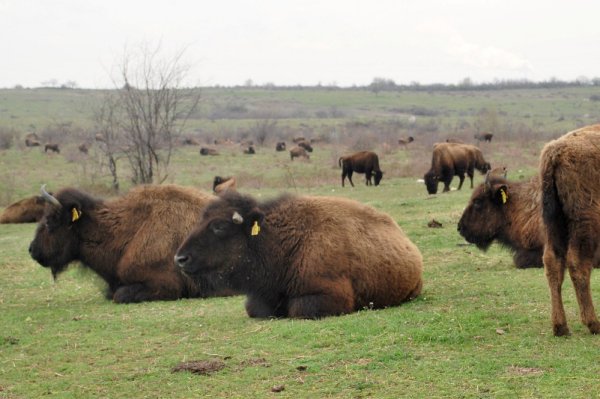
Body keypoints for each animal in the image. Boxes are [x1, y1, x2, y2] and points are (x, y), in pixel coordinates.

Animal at [540, 123, 600, 336]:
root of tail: (555, 152)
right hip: (587, 222)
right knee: (578, 264)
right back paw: (593, 323)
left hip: (553, 222)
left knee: (553, 262)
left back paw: (560, 327)